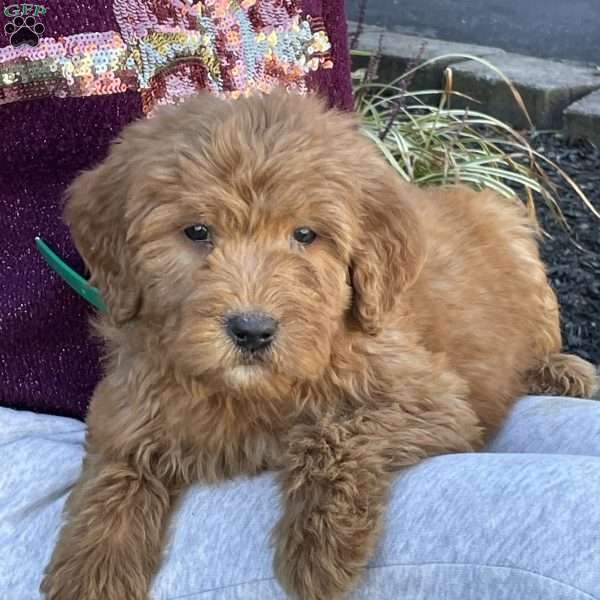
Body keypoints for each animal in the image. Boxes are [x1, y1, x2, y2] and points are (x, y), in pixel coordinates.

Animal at [41, 89, 596, 600]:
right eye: (196, 231)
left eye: (305, 235)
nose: (252, 330)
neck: (251, 391)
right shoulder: (129, 406)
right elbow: (114, 474)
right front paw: (91, 571)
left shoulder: (431, 400)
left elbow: (337, 429)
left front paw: (321, 543)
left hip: (518, 245)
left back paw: (564, 372)